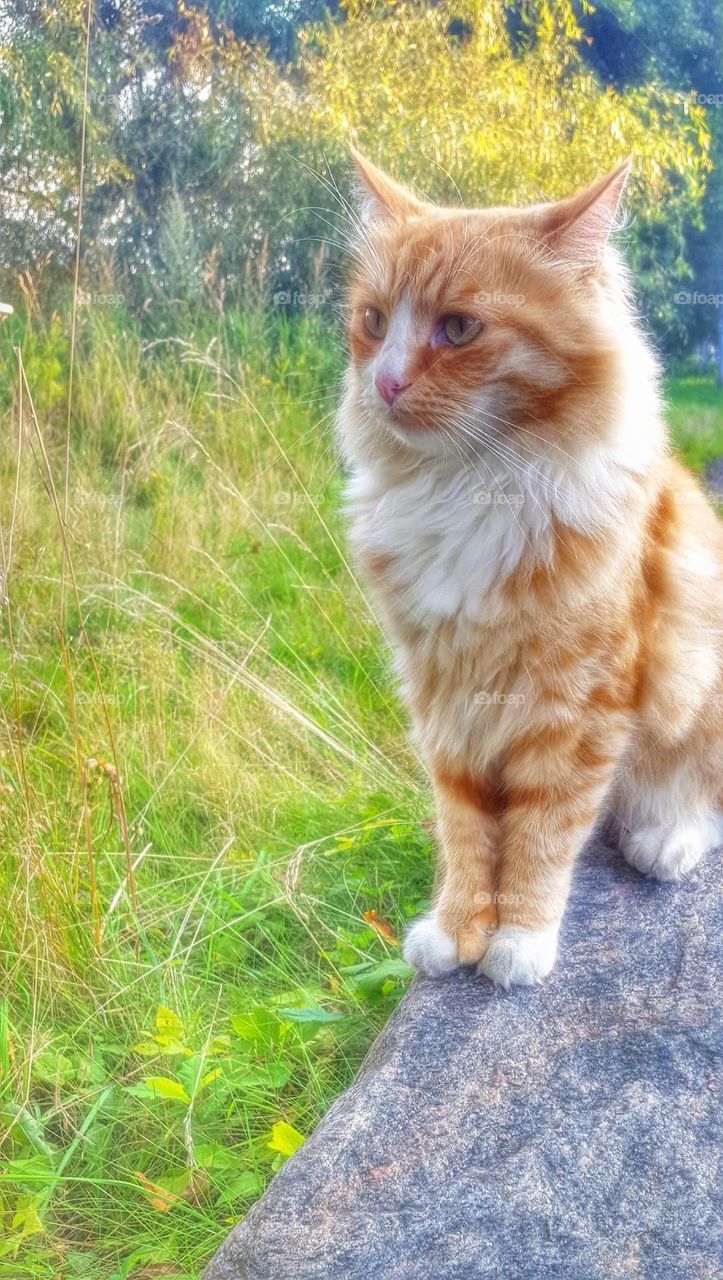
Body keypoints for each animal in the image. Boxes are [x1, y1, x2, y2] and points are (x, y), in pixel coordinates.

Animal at [337, 152, 721, 988]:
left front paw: (518, 940)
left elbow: (540, 839)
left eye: (458, 328)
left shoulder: (575, 711)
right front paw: (456, 930)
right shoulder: (445, 700)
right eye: (374, 322)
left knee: (702, 800)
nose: (383, 383)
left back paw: (662, 838)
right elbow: (466, 834)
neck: (469, 490)